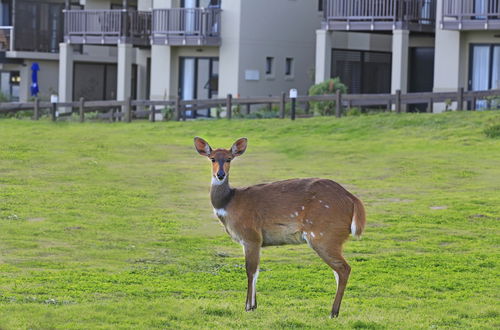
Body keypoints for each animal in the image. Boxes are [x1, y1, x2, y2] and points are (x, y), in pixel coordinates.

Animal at [193, 136, 366, 318]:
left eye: (228, 159)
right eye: (212, 158)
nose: (220, 174)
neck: (229, 203)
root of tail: (353, 199)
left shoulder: (251, 237)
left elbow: (250, 270)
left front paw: (248, 307)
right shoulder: (255, 241)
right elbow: (257, 270)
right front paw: (254, 305)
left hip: (324, 236)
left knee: (344, 268)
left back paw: (333, 312)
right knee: (338, 271)